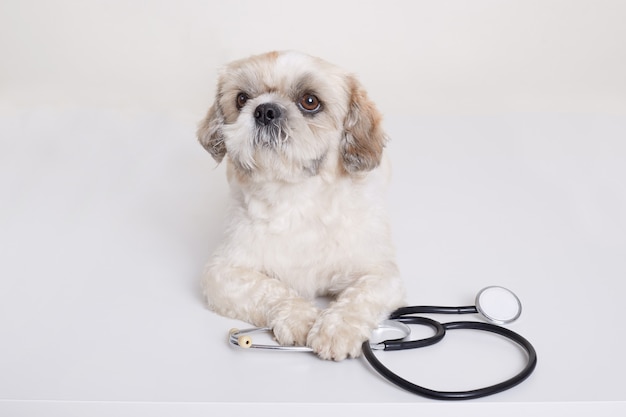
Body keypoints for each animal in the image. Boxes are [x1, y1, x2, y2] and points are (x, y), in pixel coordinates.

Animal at [196, 50, 404, 360]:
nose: (265, 110)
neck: (296, 200)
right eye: (242, 99)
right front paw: (300, 317)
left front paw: (337, 328)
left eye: (310, 101)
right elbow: (268, 288)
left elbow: (360, 297)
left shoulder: (382, 275)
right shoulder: (221, 273)